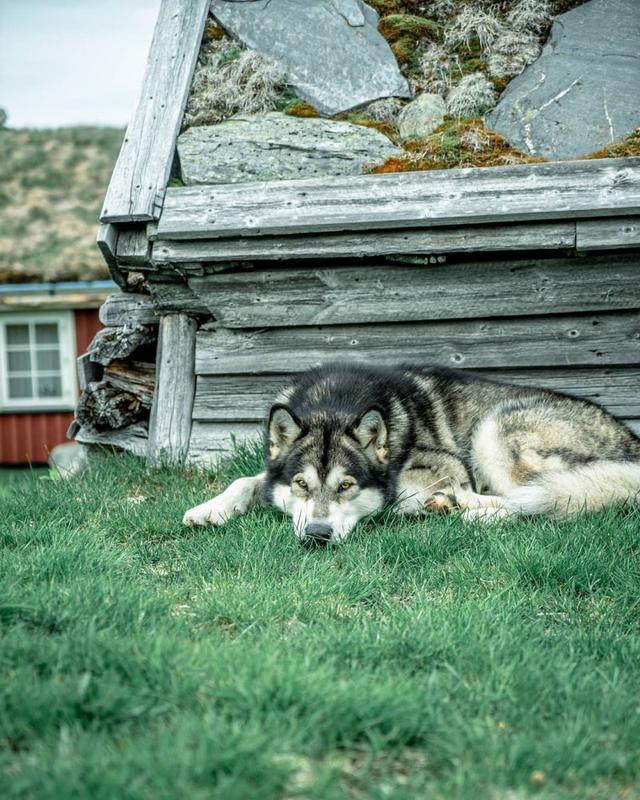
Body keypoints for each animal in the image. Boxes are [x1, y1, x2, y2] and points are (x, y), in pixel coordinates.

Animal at [181, 364, 640, 544]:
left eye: (346, 486)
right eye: (300, 484)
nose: (318, 535)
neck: (335, 405)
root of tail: (632, 443)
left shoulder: (449, 464)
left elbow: (400, 496)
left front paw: (433, 502)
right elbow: (248, 479)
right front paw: (210, 509)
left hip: (493, 432)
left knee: (538, 499)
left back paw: (468, 511)